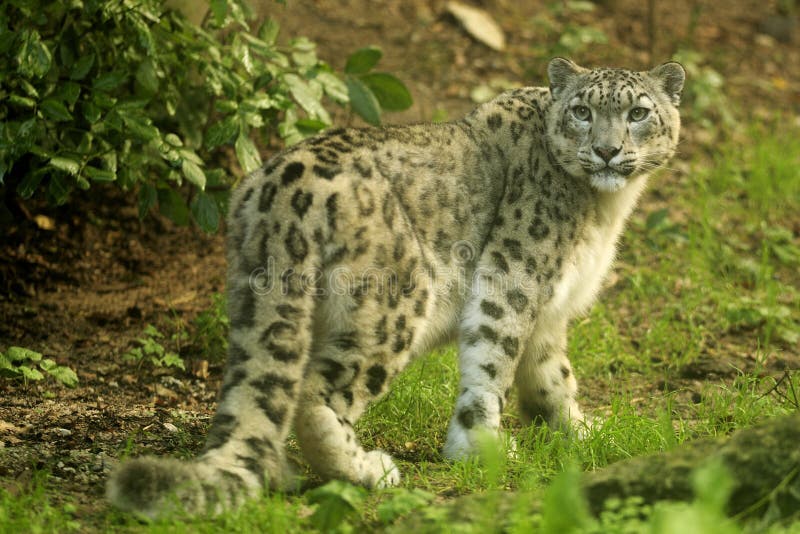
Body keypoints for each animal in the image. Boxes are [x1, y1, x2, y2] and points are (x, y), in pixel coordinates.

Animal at [106, 55, 684, 520]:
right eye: (582, 111)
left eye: (638, 113)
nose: (606, 151)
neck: (605, 210)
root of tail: (281, 189)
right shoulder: (513, 279)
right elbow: (492, 365)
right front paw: (483, 448)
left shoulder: (550, 309)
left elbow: (551, 374)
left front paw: (582, 431)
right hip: (395, 302)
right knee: (316, 392)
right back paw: (365, 469)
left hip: (260, 301)